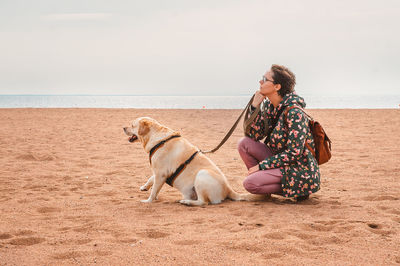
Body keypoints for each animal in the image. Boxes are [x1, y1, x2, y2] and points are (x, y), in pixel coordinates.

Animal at [123, 116, 264, 206]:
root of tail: (229, 189)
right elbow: (151, 179)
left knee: (203, 202)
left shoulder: (161, 173)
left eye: (132, 125)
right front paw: (144, 187)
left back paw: (187, 202)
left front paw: (148, 201)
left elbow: (154, 190)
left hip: (202, 175)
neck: (158, 139)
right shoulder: (159, 172)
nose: (123, 127)